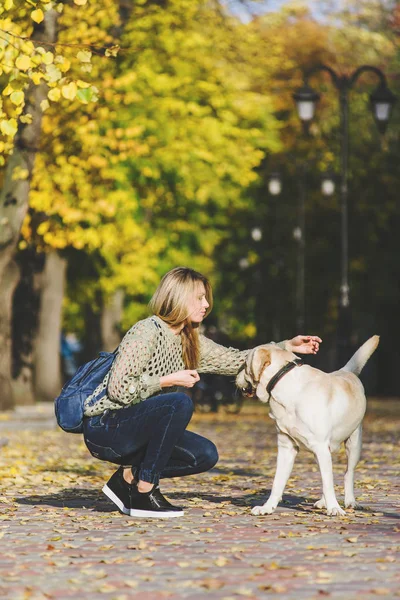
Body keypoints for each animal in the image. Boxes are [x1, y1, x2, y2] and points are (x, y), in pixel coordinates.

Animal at [236, 338, 380, 516]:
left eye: (244, 364)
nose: (235, 374)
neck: (287, 387)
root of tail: (346, 371)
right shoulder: (287, 447)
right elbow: (278, 482)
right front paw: (267, 507)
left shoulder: (321, 446)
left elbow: (329, 482)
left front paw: (334, 508)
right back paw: (324, 501)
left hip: (353, 444)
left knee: (348, 473)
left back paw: (350, 501)